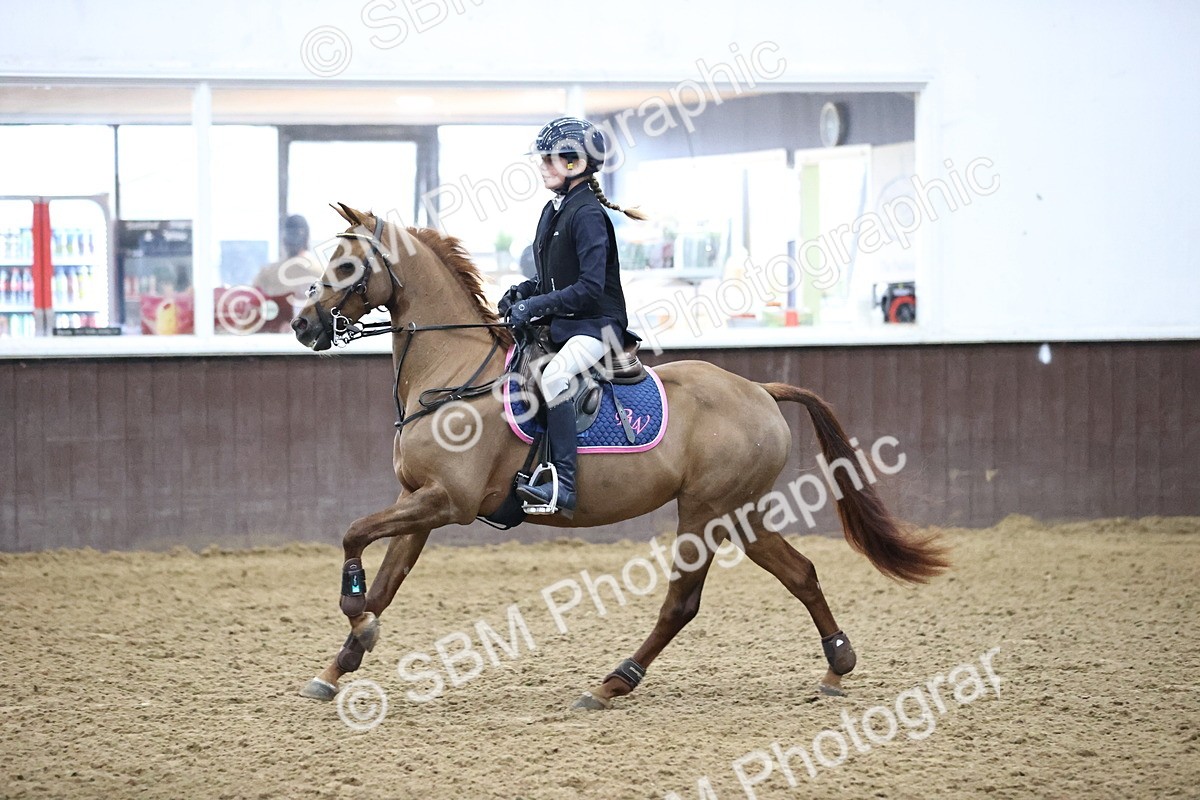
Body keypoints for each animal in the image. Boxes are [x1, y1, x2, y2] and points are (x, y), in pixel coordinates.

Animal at [291, 203, 948, 709]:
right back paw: (838, 665)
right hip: (740, 512)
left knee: (682, 602)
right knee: (800, 573)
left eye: (345, 265)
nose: (303, 324)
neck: (452, 375)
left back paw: (612, 682)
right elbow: (385, 582)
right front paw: (338, 665)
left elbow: (353, 536)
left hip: (704, 512)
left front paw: (355, 615)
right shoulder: (419, 501)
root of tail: (761, 389)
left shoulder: (445, 502)